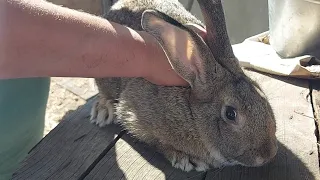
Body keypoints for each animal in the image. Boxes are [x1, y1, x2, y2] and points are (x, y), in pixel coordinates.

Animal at [89, 0, 278, 172]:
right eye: (230, 114)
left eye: (264, 98)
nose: (268, 154)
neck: (193, 115)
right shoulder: (135, 115)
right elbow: (158, 142)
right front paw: (186, 159)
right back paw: (103, 110)